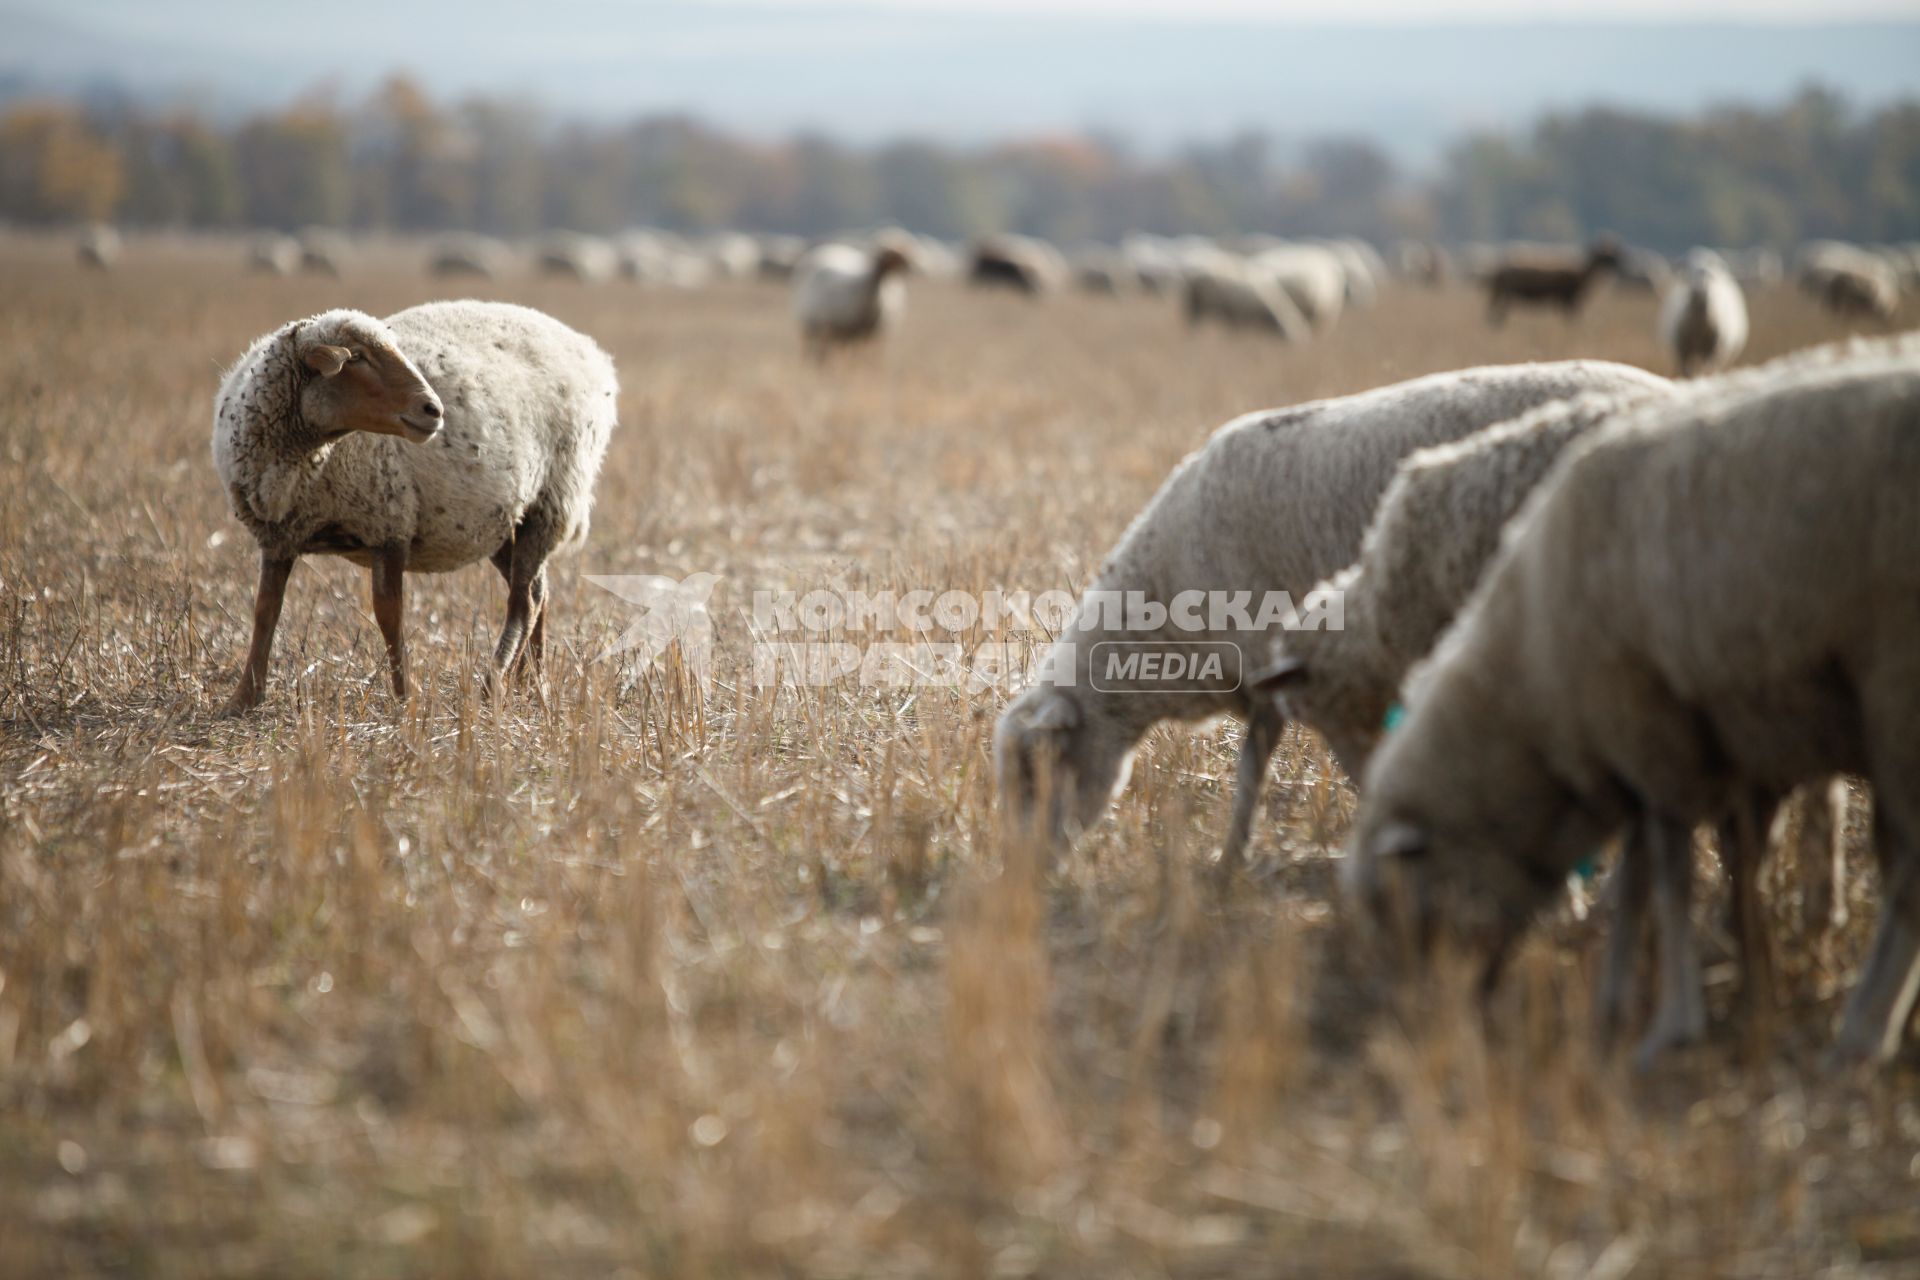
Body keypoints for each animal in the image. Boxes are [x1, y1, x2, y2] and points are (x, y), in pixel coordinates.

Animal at [219, 305, 622, 717]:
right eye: (357, 357)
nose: (433, 410)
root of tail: (588, 351)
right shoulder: (279, 538)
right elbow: (265, 610)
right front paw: (243, 698)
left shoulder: (389, 522)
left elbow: (389, 614)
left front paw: (405, 698)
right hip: (499, 521)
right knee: (538, 592)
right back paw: (532, 683)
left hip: (550, 502)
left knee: (523, 602)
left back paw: (492, 685)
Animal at [990, 355, 1666, 867]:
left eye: (1035, 773)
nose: (1025, 873)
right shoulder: (1268, 678)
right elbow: (1252, 768)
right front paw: (1231, 859)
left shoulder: (1305, 667)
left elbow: (1307, 768)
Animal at [1344, 345, 1920, 1066]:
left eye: (1402, 910)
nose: (1423, 1021)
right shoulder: (1645, 751)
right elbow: (1656, 873)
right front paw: (1627, 996)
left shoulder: (1651, 733)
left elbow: (1670, 876)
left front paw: (1673, 1022)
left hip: (1895, 691)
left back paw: (1863, 1029)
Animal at [1482, 235, 1620, 326]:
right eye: (1608, 255)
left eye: (1612, 254)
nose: (1617, 266)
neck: (1583, 274)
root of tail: (1500, 269)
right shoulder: (1567, 296)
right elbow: (1572, 317)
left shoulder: (1563, 298)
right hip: (1508, 292)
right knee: (1498, 311)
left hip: (1503, 292)